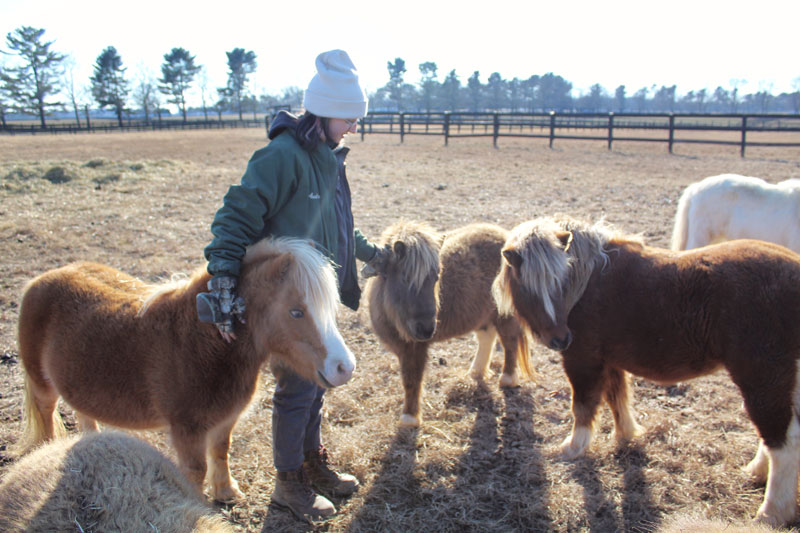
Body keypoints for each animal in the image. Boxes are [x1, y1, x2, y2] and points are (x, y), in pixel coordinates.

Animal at [14, 238, 354, 502]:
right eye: (296, 312)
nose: (344, 367)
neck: (203, 342)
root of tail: (40, 279)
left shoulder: (224, 420)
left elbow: (221, 451)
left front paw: (226, 492)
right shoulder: (186, 430)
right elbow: (195, 471)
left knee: (85, 414)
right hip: (41, 385)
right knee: (46, 413)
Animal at [368, 222, 532, 426]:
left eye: (436, 277)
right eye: (405, 278)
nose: (426, 329)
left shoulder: (414, 347)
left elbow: (411, 379)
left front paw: (409, 418)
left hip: (503, 314)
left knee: (510, 342)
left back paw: (507, 379)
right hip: (483, 315)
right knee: (487, 338)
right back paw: (476, 372)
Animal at [490, 214, 800, 524]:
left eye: (560, 283)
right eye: (528, 288)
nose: (561, 339)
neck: (589, 283)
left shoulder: (583, 361)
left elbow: (583, 407)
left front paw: (573, 448)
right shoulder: (610, 362)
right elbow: (617, 399)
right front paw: (625, 436)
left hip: (763, 379)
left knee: (782, 441)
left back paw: (771, 513)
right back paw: (756, 472)